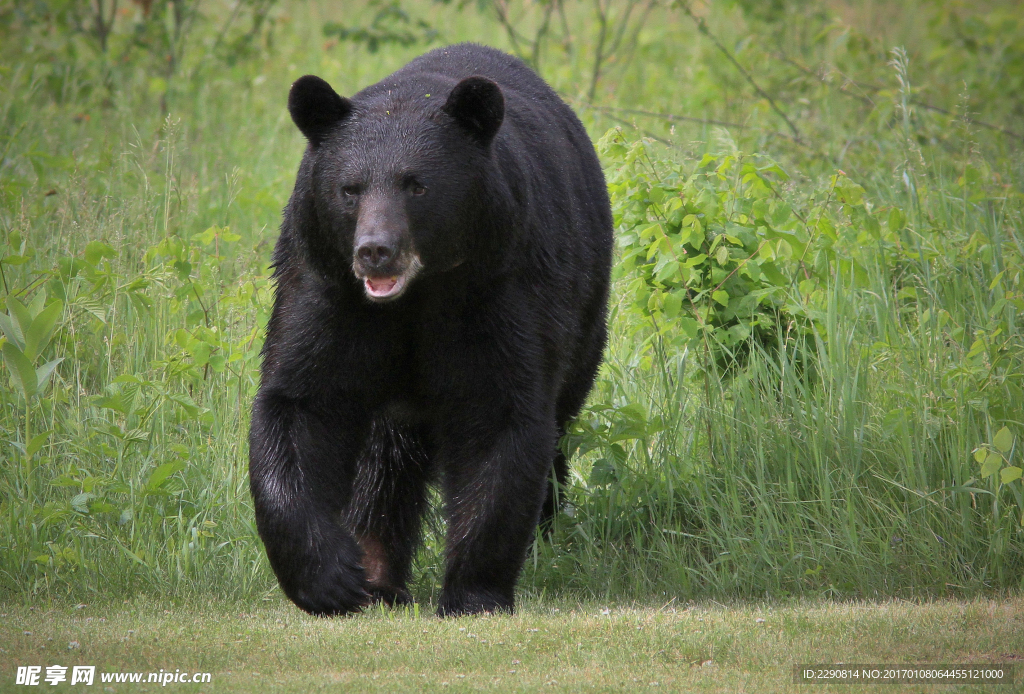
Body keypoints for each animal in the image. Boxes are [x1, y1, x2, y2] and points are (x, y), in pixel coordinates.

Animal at [248, 43, 613, 617]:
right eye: (349, 189)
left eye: (416, 184)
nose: (375, 250)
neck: (414, 299)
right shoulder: (327, 287)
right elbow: (301, 402)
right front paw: (331, 578)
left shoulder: (499, 288)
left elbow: (499, 415)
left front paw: (473, 592)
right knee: (384, 461)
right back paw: (379, 577)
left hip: (585, 324)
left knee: (556, 423)